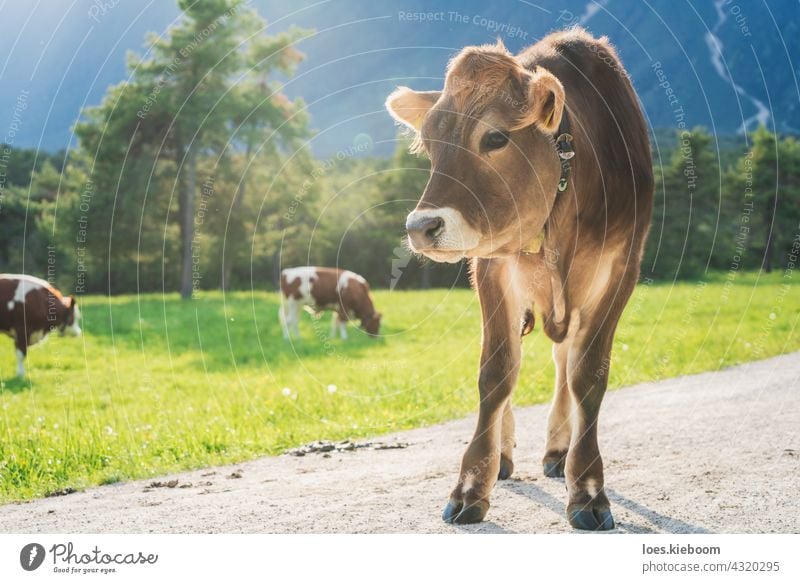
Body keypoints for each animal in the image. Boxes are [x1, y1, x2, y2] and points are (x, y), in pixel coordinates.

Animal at [384, 27, 652, 532]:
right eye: (429, 144)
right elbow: (496, 373)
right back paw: (504, 455)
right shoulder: (491, 266)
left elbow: (587, 375)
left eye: (494, 137)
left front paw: (587, 491)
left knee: (564, 361)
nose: (421, 226)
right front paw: (471, 486)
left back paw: (559, 451)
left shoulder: (621, 269)